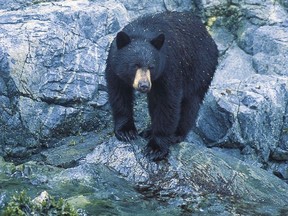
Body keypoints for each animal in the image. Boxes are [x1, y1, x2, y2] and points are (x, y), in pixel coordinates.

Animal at [106, 11, 218, 160]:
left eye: (151, 67)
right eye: (135, 65)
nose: (144, 85)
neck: (142, 33)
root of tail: (209, 36)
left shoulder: (168, 67)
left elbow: (167, 103)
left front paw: (156, 148)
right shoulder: (114, 66)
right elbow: (119, 94)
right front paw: (126, 131)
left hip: (200, 67)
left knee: (190, 102)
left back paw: (176, 134)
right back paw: (148, 131)